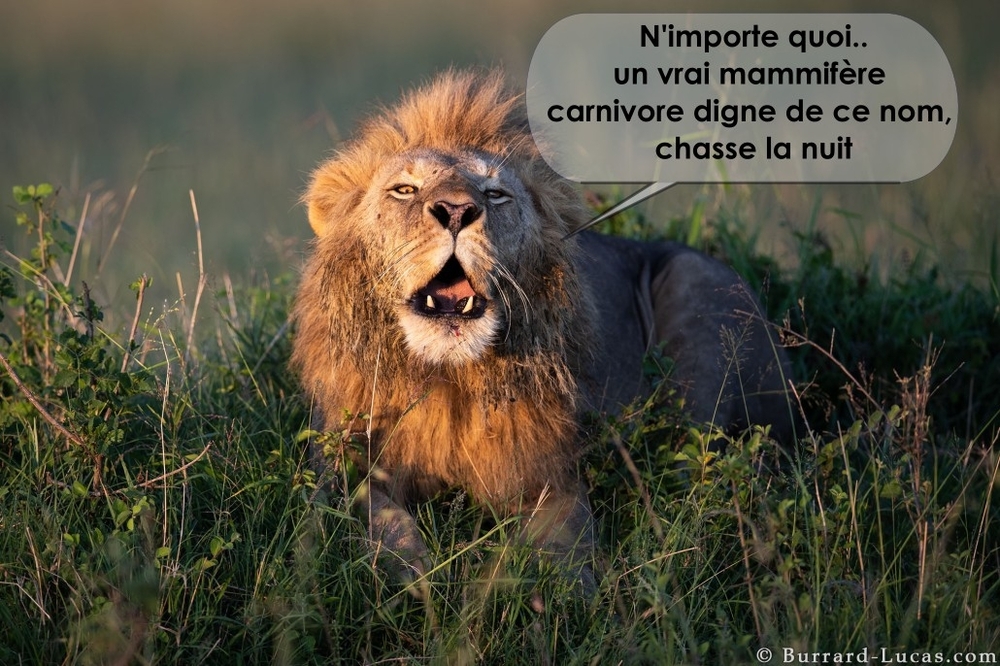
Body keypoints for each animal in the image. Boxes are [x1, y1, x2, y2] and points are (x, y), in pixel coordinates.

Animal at [292, 69, 798, 587]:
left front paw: (553, 593)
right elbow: (379, 519)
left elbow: (566, 546)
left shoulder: (549, 473)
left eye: (495, 194)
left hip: (693, 292)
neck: (449, 378)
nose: (456, 211)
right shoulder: (339, 463)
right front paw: (417, 578)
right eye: (404, 190)